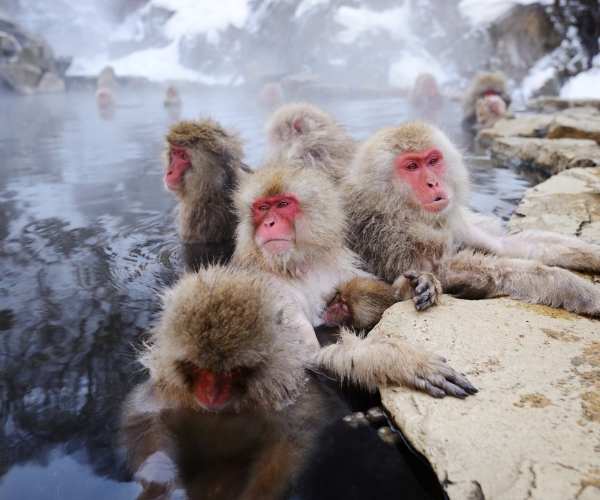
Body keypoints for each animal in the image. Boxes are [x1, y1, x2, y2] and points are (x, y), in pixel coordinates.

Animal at [232, 164, 476, 398]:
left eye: (282, 204)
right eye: (262, 208)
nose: (269, 223)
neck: (298, 265)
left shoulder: (341, 266)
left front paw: (417, 285)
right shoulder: (270, 288)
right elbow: (306, 358)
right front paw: (398, 360)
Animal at [344, 120, 600, 316]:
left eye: (432, 161)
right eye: (412, 166)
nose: (433, 183)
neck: (399, 208)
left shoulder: (451, 221)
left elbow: (503, 245)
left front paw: (593, 255)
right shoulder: (387, 235)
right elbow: (447, 269)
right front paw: (578, 290)